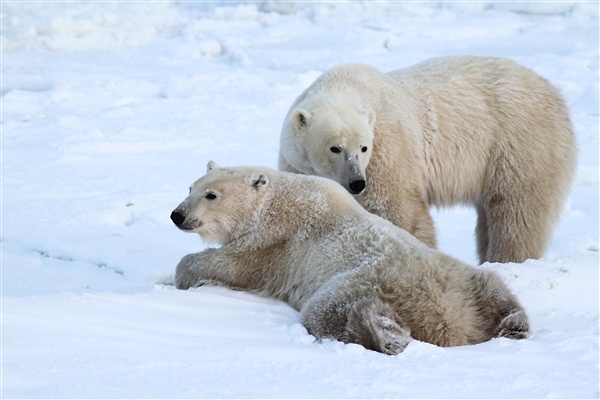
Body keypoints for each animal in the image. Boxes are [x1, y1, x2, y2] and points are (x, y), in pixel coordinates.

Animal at [170, 162, 528, 356]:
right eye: (189, 187)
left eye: (211, 195)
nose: (177, 215)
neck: (280, 197)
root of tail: (450, 322)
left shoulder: (276, 242)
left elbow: (236, 265)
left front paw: (187, 275)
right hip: (463, 278)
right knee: (495, 287)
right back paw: (514, 325)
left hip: (364, 279)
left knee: (326, 311)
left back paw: (383, 333)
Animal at [278, 55, 580, 262]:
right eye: (335, 148)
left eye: (364, 148)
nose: (356, 183)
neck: (344, 86)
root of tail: (554, 93)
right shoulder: (299, 164)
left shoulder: (388, 151)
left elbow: (399, 211)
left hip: (519, 143)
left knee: (516, 210)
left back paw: (506, 260)